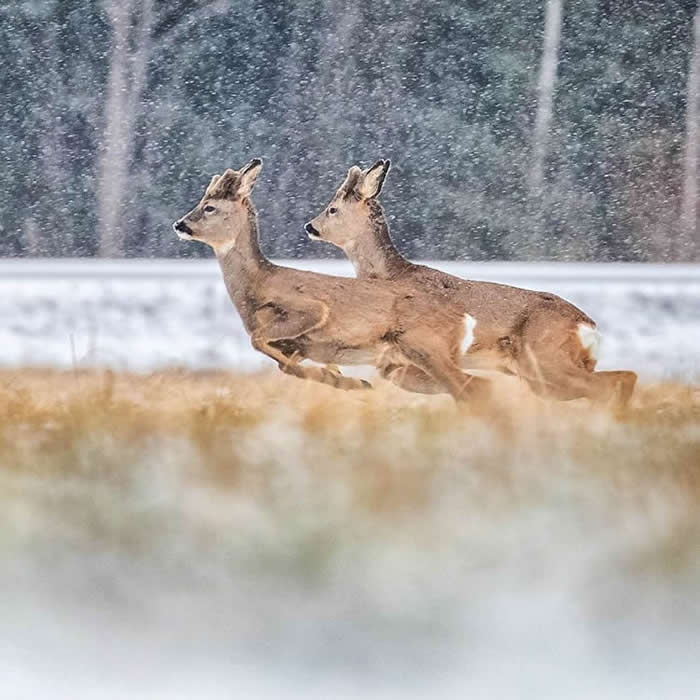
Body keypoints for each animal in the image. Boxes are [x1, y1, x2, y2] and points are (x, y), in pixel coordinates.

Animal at [173, 158, 492, 400]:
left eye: (210, 207)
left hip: (425, 346)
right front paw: (342, 379)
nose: (180, 224)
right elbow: (283, 364)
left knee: (473, 386)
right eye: (201, 201)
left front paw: (346, 380)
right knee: (477, 385)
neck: (258, 285)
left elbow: (258, 339)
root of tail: (462, 316)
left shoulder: (309, 309)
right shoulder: (296, 346)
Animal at [304, 161, 636, 408]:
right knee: (620, 379)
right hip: (544, 375)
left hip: (544, 359)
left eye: (332, 208)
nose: (309, 226)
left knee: (615, 382)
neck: (392, 275)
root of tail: (588, 326)